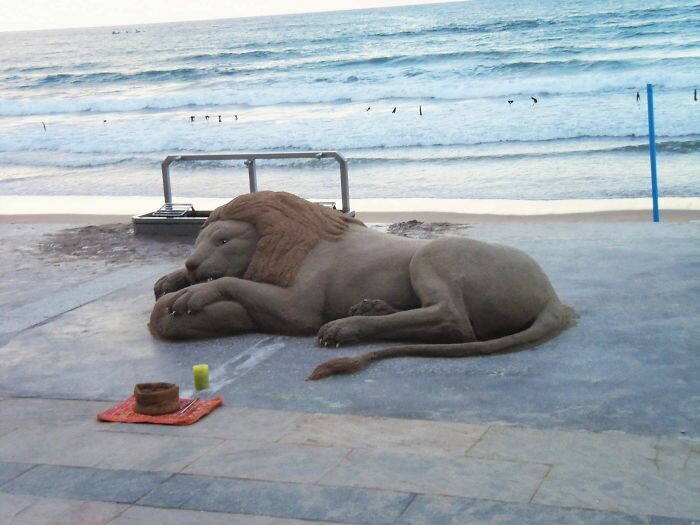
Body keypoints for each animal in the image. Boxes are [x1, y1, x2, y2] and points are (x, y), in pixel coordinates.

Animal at [150, 191, 572, 380]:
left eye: (223, 241)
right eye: (198, 241)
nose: (191, 262)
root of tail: (551, 295)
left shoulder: (297, 310)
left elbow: (232, 282)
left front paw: (192, 294)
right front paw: (171, 281)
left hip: (433, 254)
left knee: (454, 321)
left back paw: (344, 328)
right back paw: (369, 309)